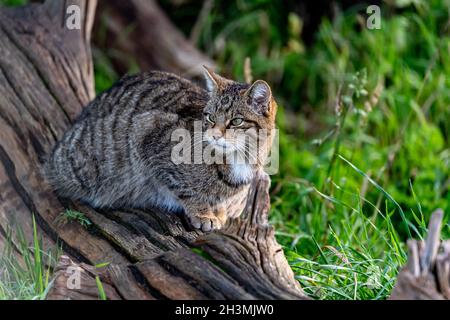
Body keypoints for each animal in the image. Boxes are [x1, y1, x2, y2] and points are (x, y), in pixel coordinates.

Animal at [44, 67, 278, 231]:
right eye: (210, 117)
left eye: (236, 121)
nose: (214, 134)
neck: (239, 160)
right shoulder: (147, 133)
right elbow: (184, 189)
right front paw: (203, 212)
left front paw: (218, 210)